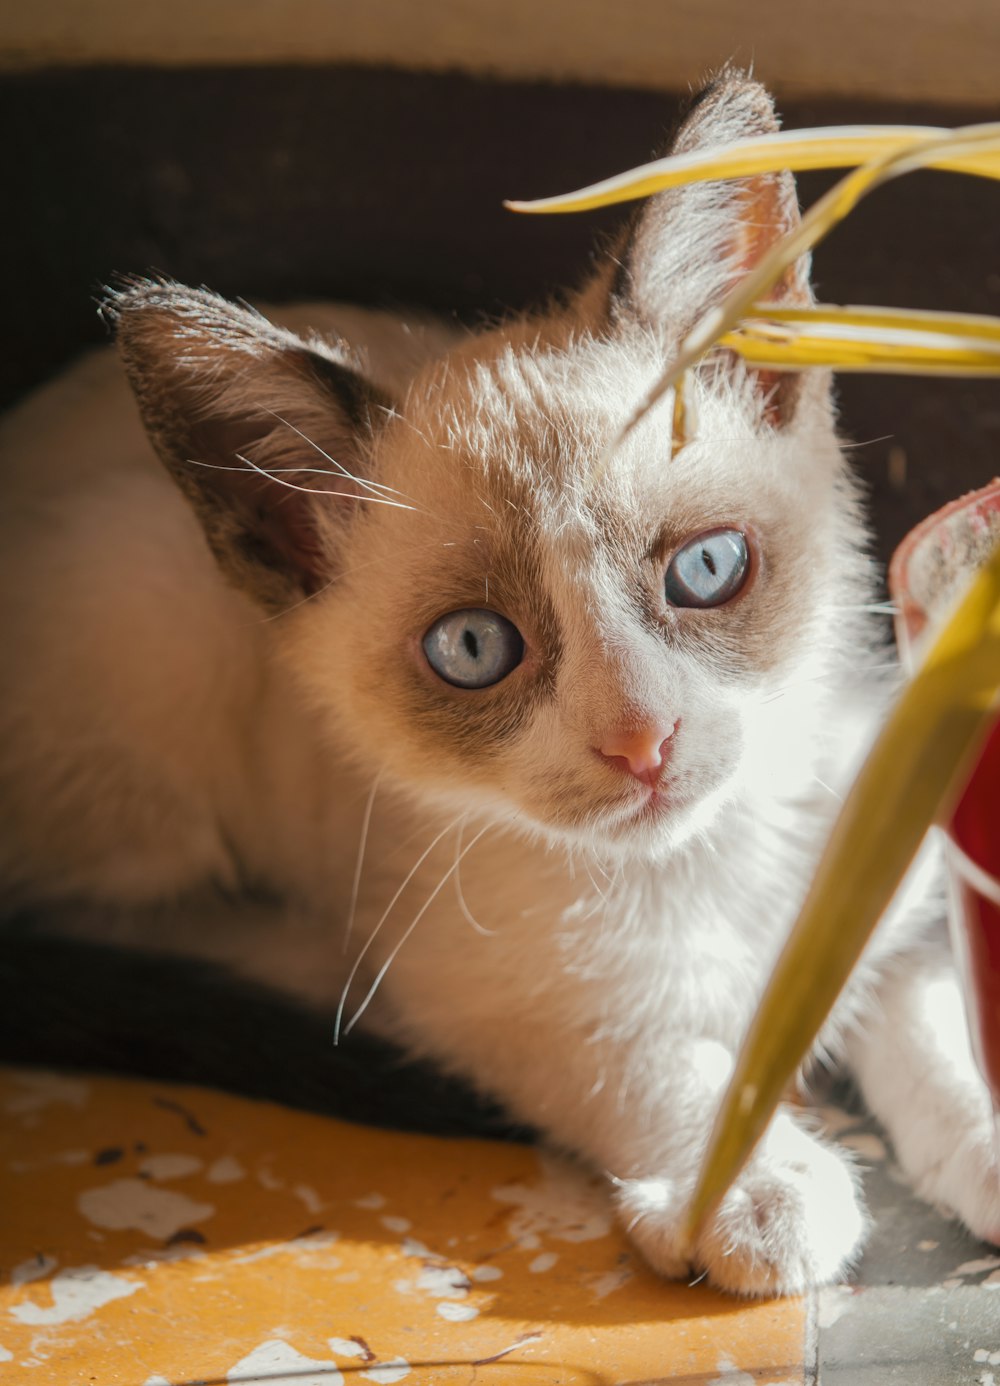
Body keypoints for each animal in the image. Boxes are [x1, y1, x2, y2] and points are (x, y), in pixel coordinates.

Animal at [1, 70, 997, 1291]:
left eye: (707, 570)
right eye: (473, 648)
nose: (642, 741)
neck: (704, 866)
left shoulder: (889, 876)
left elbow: (935, 1026)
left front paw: (982, 1139)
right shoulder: (485, 993)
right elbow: (637, 1050)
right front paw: (753, 1186)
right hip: (139, 589)